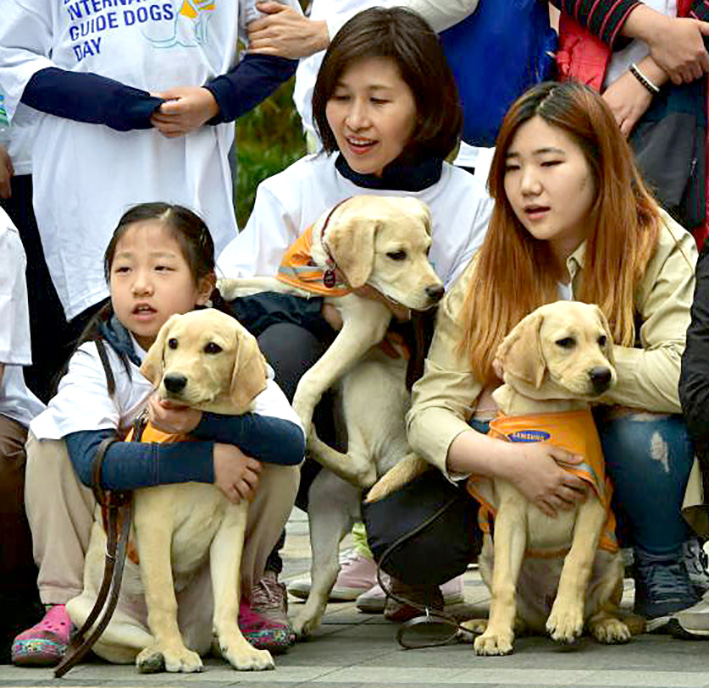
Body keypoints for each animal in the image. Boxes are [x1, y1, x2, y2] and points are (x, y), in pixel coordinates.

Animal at [370, 302, 632, 656]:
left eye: (602, 340)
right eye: (565, 342)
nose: (603, 375)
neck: (550, 413)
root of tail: (539, 615)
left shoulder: (593, 502)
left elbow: (575, 563)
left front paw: (566, 618)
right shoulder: (510, 516)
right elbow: (503, 586)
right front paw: (496, 634)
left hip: (611, 560)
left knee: (601, 608)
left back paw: (606, 625)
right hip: (488, 557)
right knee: (515, 606)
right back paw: (485, 626)